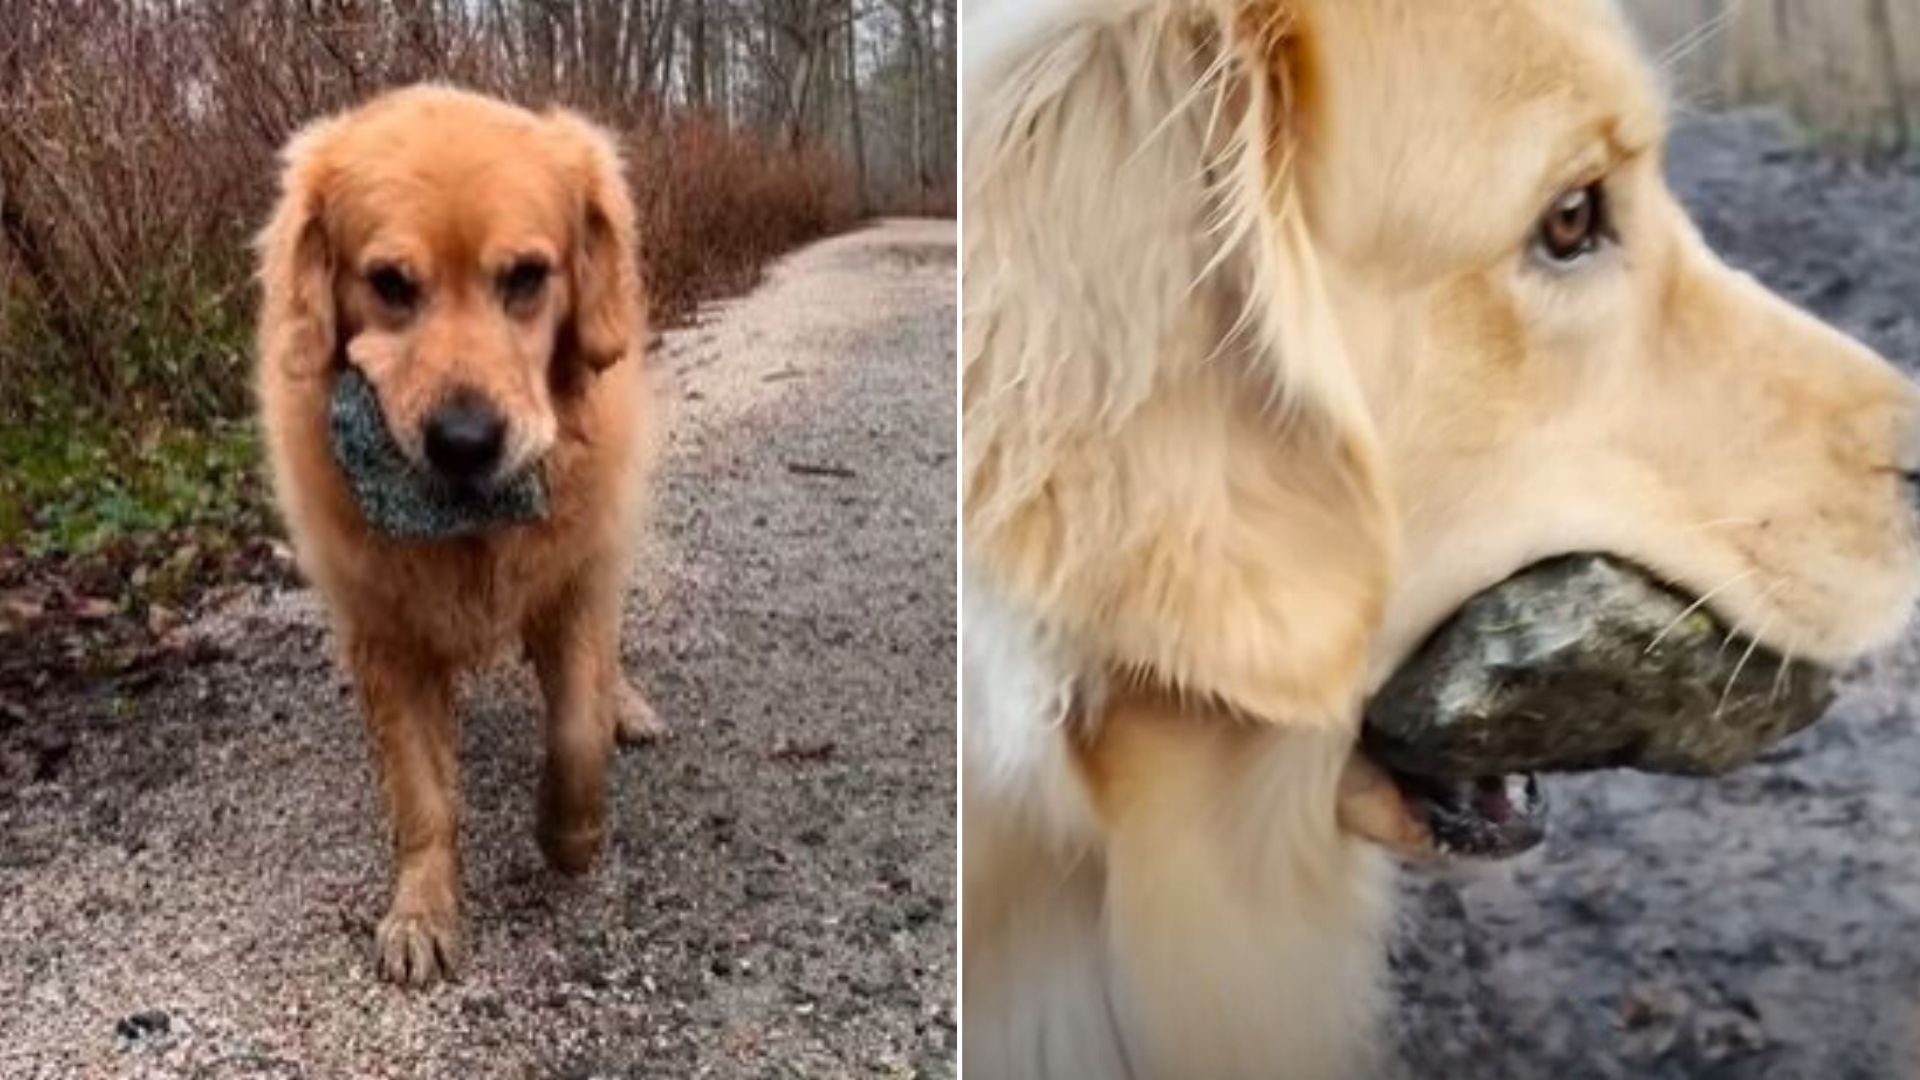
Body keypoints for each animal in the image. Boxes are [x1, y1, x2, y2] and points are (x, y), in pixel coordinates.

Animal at [255, 84, 664, 983]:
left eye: (526, 277)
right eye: (389, 284)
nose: (466, 442)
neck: (470, 533)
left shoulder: (571, 582)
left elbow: (575, 732)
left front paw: (570, 835)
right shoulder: (386, 634)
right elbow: (421, 794)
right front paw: (422, 910)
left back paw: (627, 704)